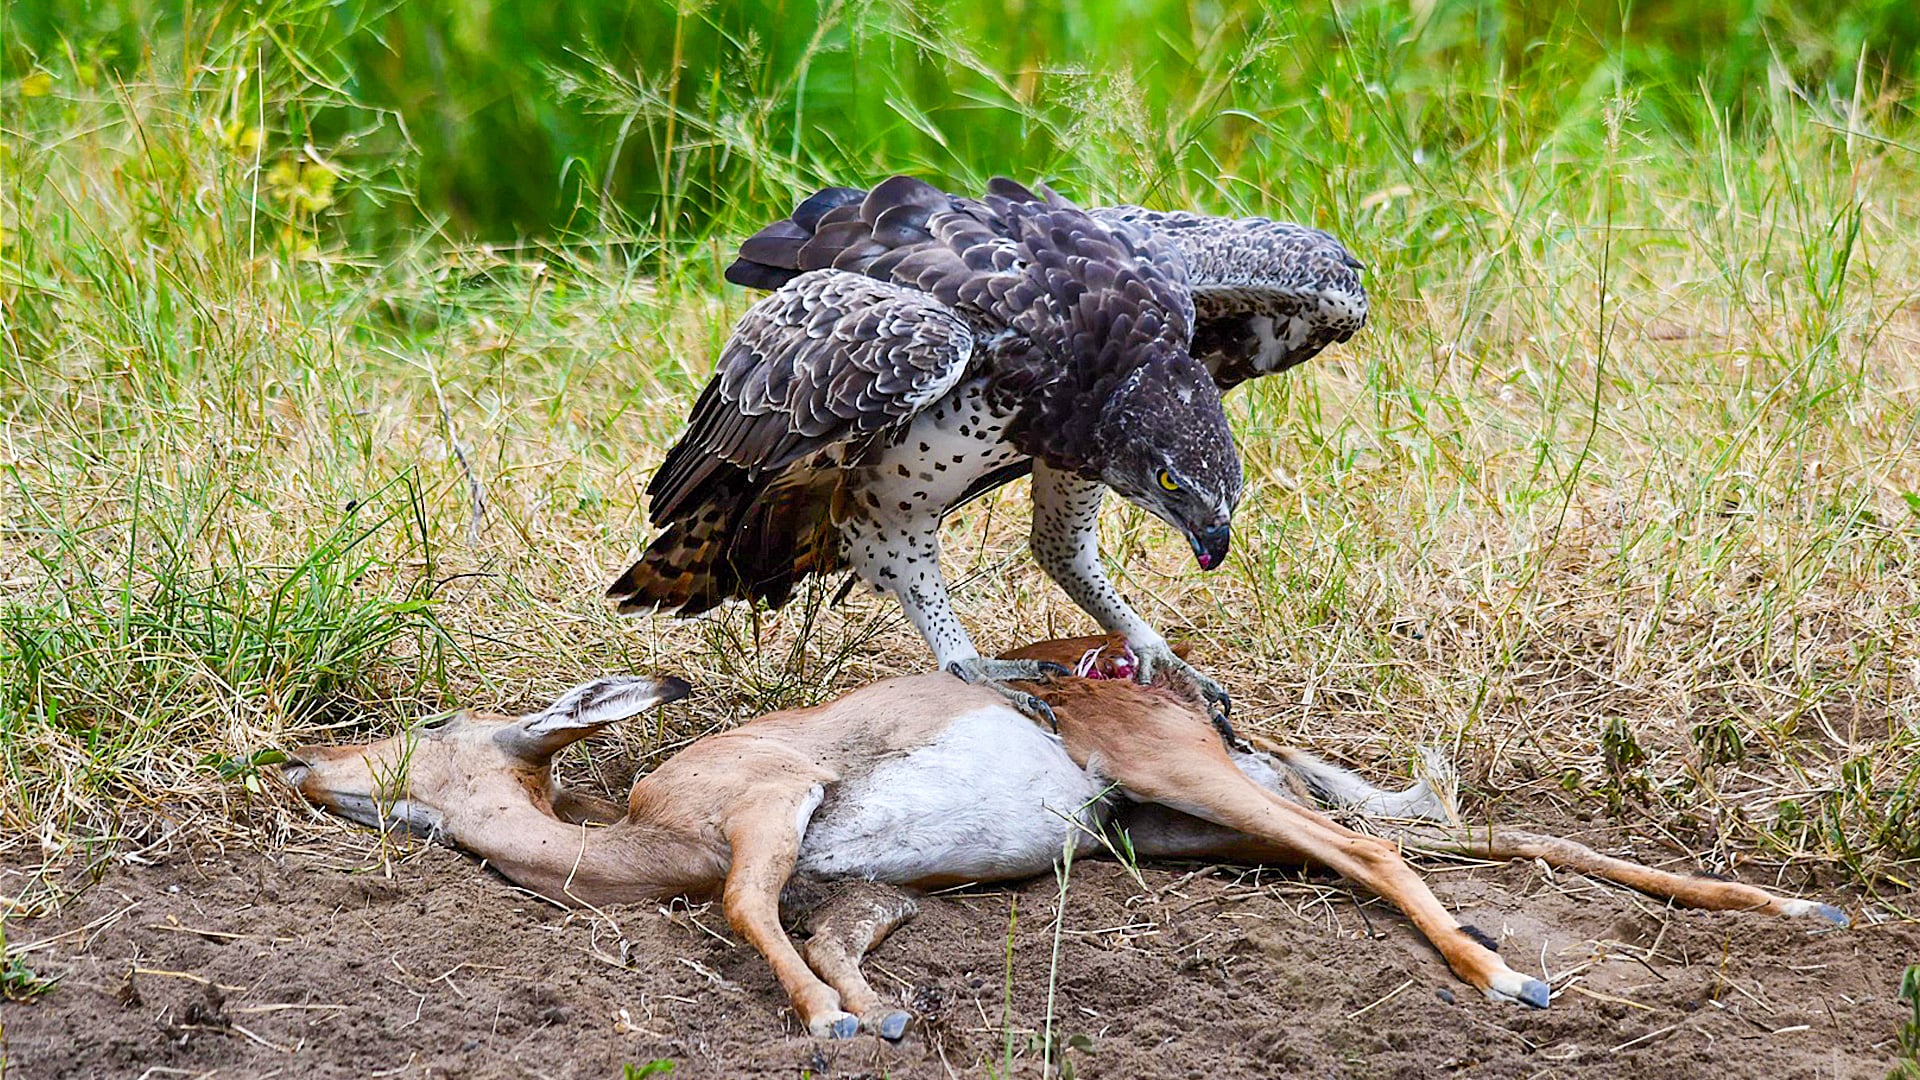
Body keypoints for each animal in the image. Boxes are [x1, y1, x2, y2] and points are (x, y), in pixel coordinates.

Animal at [284, 636, 1848, 1040]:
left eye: (430, 717)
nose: (302, 769)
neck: (638, 835)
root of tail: (1174, 678)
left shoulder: (769, 812)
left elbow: (744, 915)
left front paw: (833, 1030)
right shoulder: (871, 889)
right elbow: (838, 938)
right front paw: (883, 1015)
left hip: (1205, 797)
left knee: (1386, 856)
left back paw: (1509, 981)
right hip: (1185, 829)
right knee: (1502, 837)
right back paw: (1796, 915)